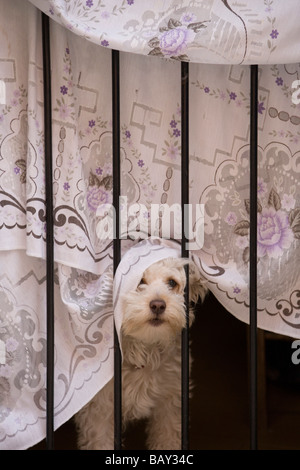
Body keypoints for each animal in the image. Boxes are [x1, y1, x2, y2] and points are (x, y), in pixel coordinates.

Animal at [74, 258, 206, 452]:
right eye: (139, 281)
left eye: (172, 283)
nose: (158, 305)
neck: (144, 351)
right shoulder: (100, 411)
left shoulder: (170, 404)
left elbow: (167, 440)